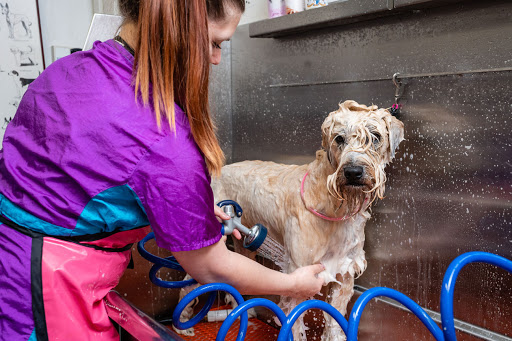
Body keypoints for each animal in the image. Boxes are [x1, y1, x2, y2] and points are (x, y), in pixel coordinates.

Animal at [211, 99, 404, 338]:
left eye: (375, 136)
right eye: (339, 138)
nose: (353, 172)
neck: (334, 207)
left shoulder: (344, 274)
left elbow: (334, 323)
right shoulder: (297, 275)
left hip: (245, 245)